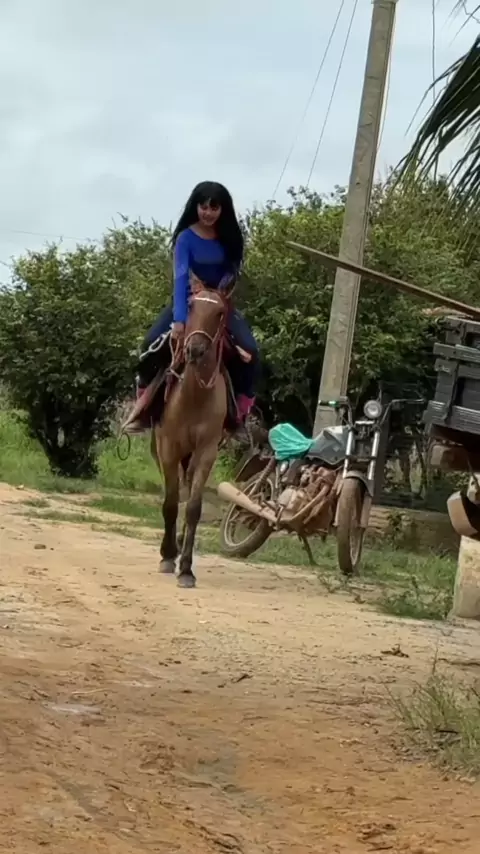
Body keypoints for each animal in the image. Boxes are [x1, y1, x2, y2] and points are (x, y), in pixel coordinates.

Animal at [151, 282, 234, 588]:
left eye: (220, 313)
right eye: (190, 306)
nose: (194, 350)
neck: (194, 397)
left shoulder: (206, 451)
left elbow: (193, 507)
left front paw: (186, 569)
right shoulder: (168, 449)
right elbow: (171, 503)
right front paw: (166, 556)